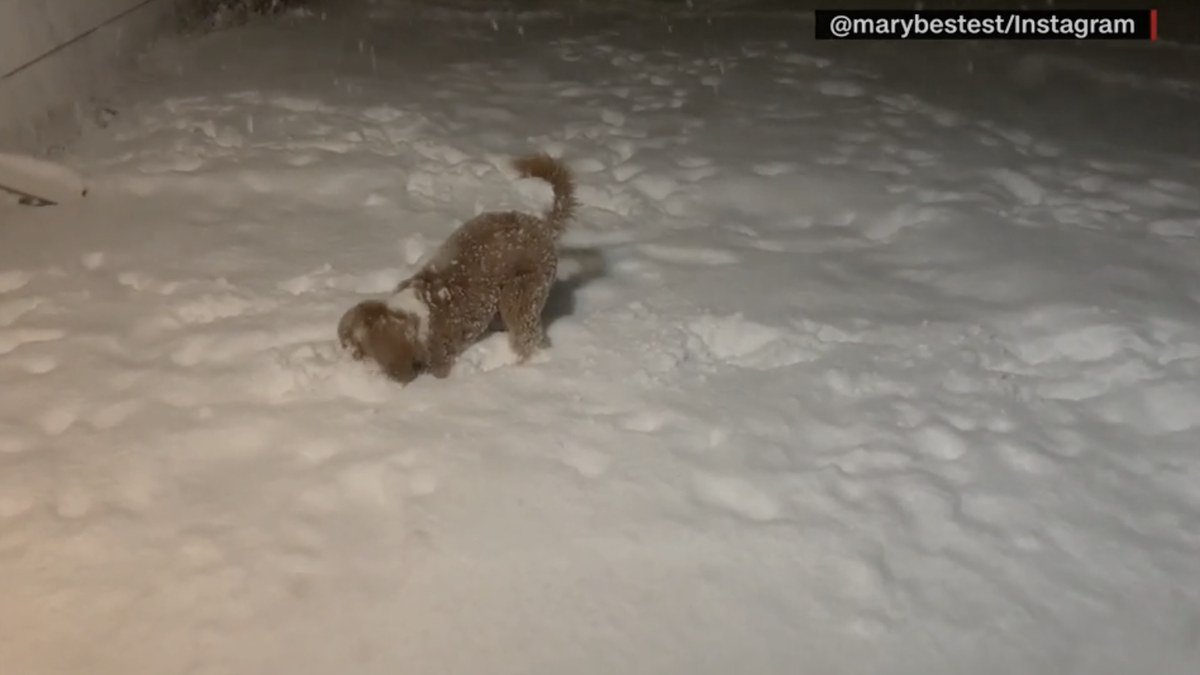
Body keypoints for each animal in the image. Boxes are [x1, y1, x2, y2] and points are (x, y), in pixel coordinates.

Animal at [338, 152, 580, 384]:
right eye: (346, 342)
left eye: (359, 351)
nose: (346, 358)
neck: (414, 314)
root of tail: (542, 226)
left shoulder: (440, 356)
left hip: (522, 293)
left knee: (527, 336)